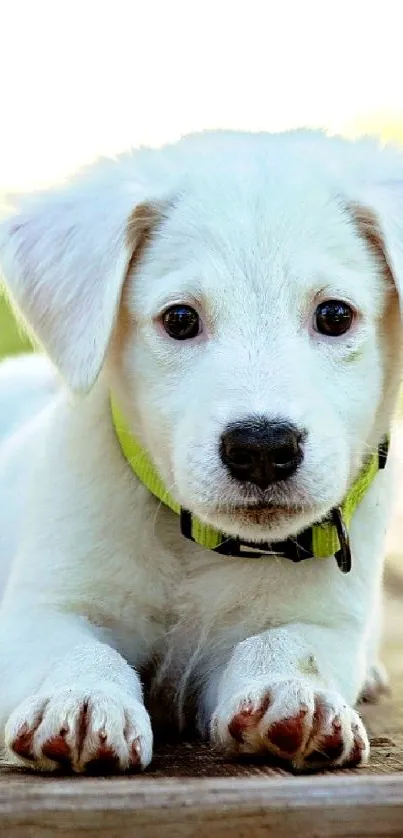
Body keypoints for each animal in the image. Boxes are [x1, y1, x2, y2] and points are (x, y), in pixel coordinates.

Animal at [0, 128, 402, 776]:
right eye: (181, 319)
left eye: (335, 314)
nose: (262, 447)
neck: (200, 547)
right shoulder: (44, 606)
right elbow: (74, 650)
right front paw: (81, 699)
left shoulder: (325, 621)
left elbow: (288, 643)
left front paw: (294, 691)